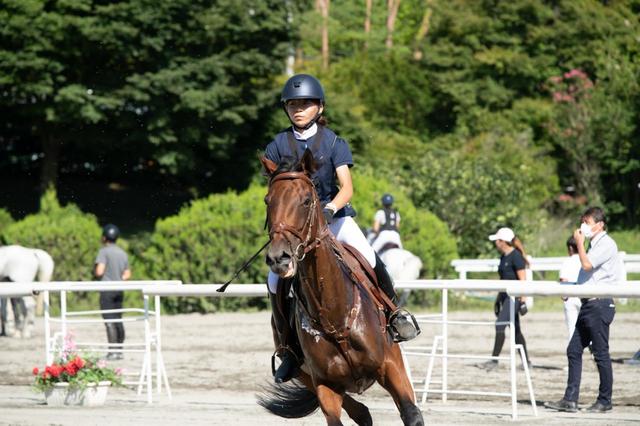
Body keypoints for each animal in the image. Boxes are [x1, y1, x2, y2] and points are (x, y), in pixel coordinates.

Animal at [258, 152, 424, 426]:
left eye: (306, 201)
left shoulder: (392, 366)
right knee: (361, 412)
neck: (334, 313)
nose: (279, 258)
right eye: (267, 201)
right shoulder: (325, 385)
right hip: (302, 372)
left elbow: (412, 414)